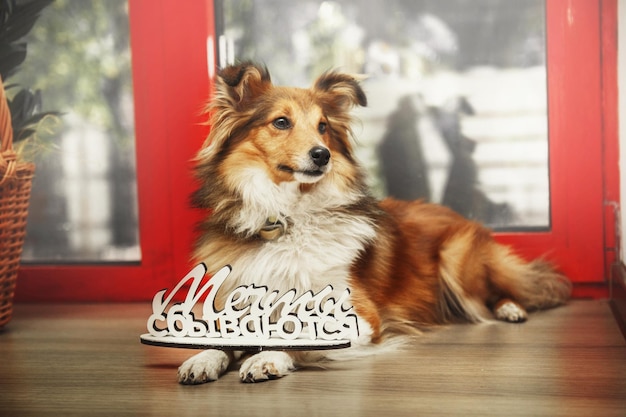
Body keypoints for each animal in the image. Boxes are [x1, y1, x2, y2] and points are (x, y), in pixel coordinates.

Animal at [177, 61, 572, 384]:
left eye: (323, 126)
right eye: (281, 122)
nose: (322, 156)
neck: (288, 217)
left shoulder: (358, 316)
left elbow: (300, 331)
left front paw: (267, 358)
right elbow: (222, 335)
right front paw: (203, 359)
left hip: (457, 258)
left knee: (512, 289)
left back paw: (510, 309)